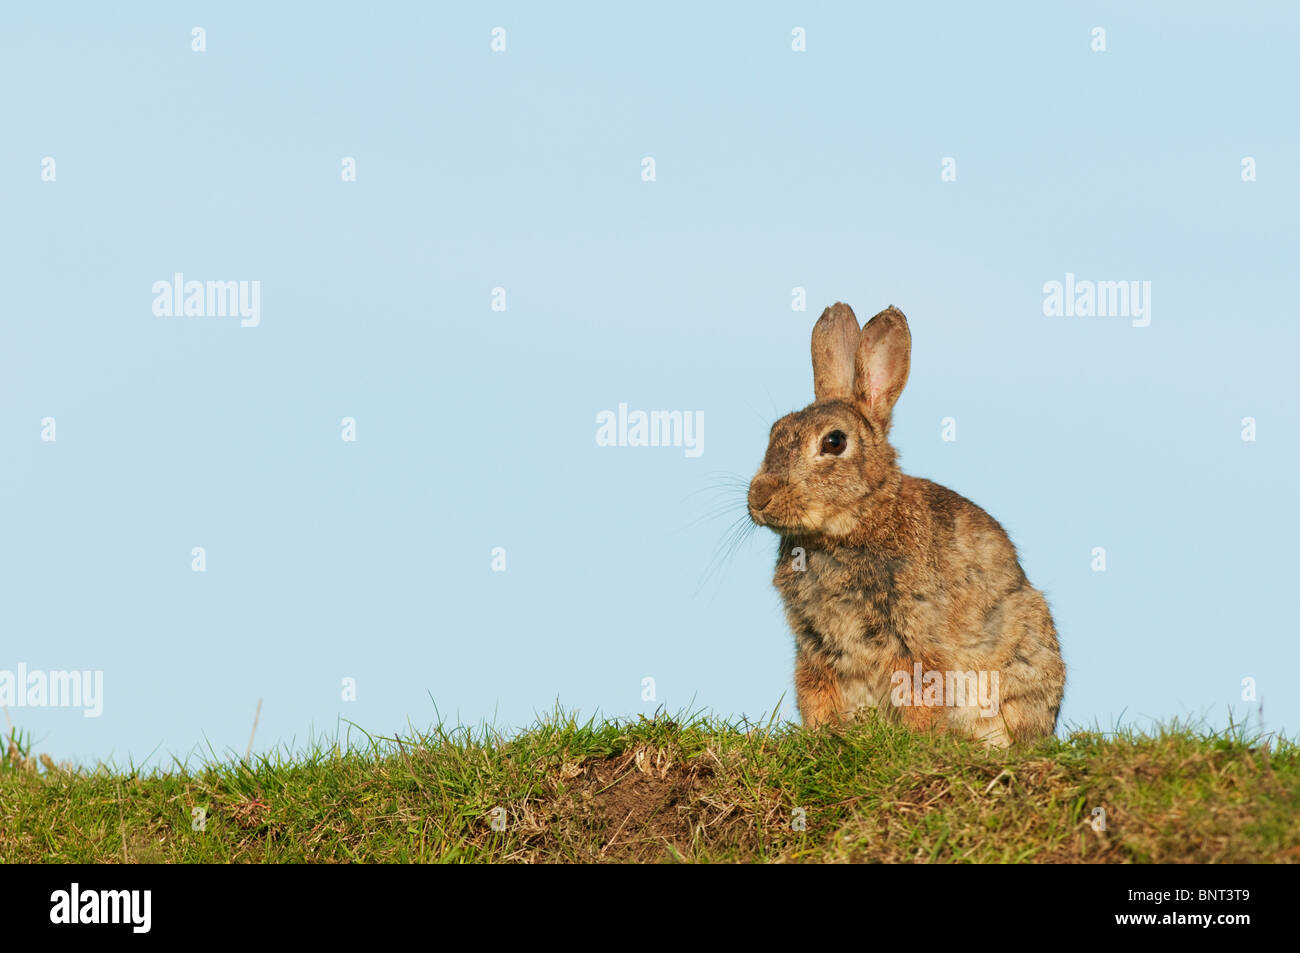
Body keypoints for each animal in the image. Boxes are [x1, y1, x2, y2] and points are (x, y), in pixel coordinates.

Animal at [747, 303, 1065, 747]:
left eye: (833, 442)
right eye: (775, 431)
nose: (759, 497)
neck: (851, 525)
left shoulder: (915, 639)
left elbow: (920, 692)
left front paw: (917, 742)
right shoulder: (814, 648)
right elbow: (817, 694)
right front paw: (824, 737)